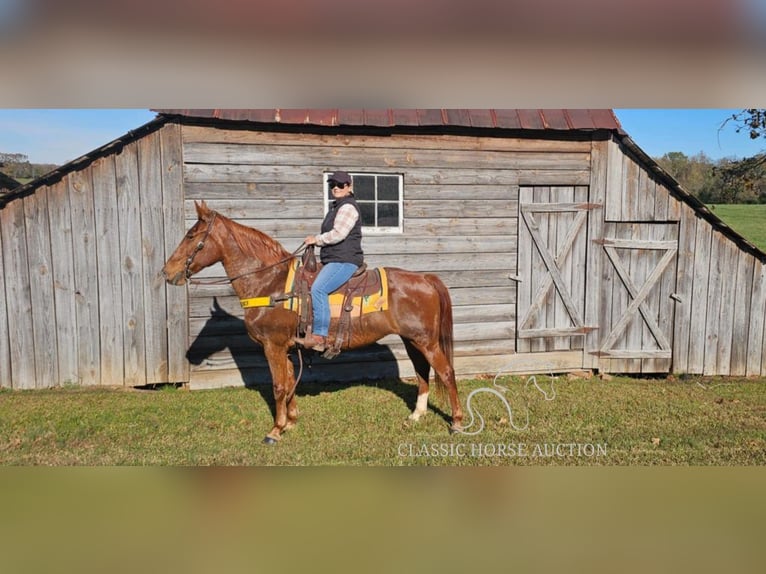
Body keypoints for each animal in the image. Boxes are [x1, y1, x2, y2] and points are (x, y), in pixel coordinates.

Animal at [163, 202, 464, 446]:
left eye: (191, 236)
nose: (167, 272)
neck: (269, 283)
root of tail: (425, 278)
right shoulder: (285, 348)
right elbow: (288, 382)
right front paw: (291, 422)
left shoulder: (272, 346)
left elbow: (279, 386)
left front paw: (275, 430)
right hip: (412, 340)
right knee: (422, 373)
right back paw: (416, 415)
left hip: (426, 342)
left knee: (447, 373)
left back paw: (457, 422)